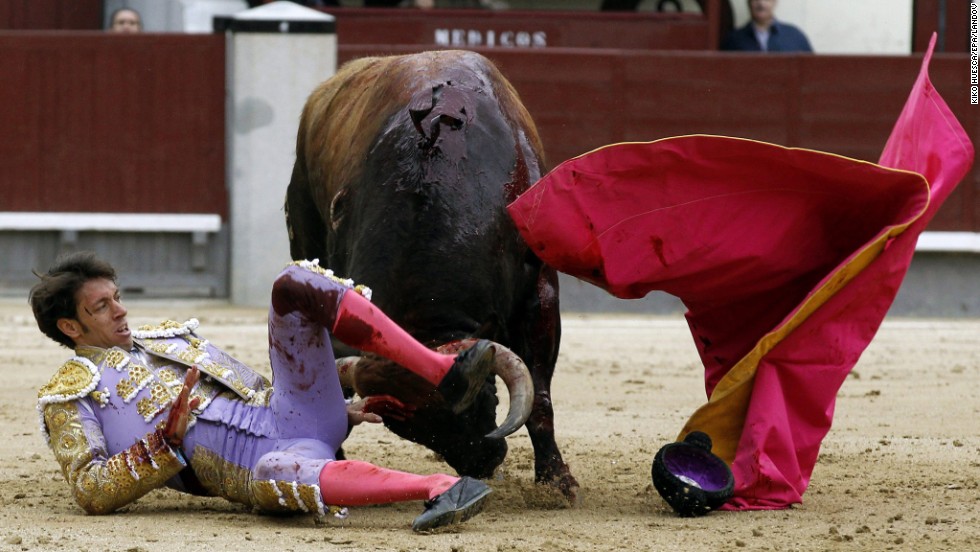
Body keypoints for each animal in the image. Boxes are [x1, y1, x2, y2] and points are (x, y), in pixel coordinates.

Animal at [282, 50, 576, 500]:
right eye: (404, 426)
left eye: (484, 400)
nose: (482, 463)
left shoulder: (539, 294)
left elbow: (540, 399)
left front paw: (557, 482)